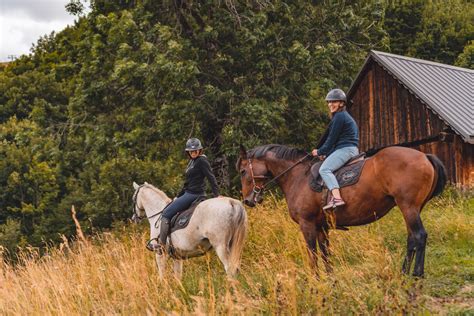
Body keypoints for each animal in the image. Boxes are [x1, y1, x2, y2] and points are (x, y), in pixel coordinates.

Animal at [239, 144, 446, 276]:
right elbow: (325, 253)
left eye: (242, 171)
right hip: (412, 209)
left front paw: (314, 280)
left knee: (419, 236)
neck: (298, 176)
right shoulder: (321, 226)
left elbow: (313, 253)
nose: (247, 200)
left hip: (408, 207)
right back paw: (403, 273)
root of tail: (424, 156)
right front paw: (330, 279)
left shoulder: (307, 224)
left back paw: (417, 274)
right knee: (412, 239)